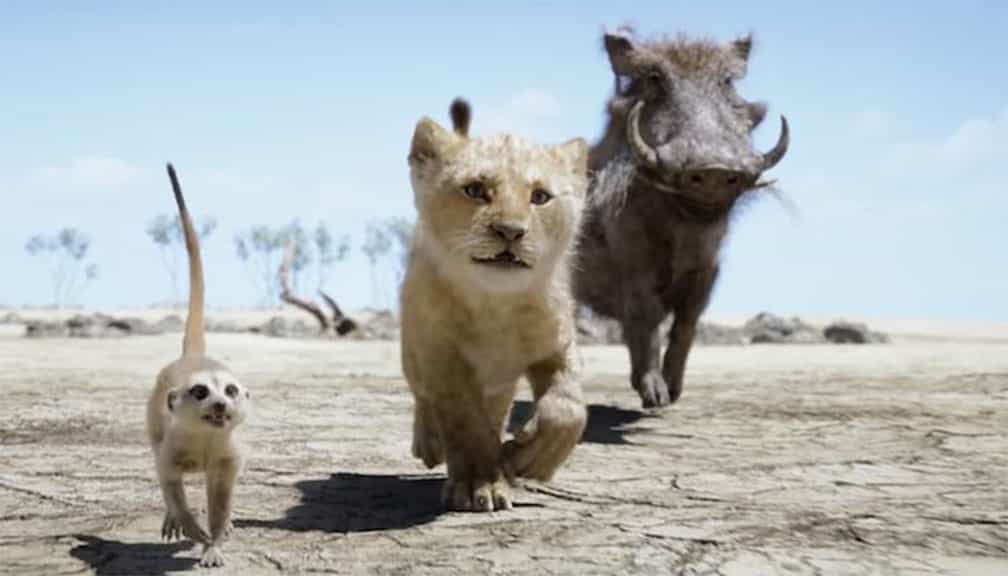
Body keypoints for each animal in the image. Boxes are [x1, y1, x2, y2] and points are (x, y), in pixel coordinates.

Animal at [400, 97, 589, 512]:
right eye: (475, 190)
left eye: (540, 196)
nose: (510, 231)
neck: (496, 305)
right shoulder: (441, 355)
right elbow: (464, 419)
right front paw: (480, 483)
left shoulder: (557, 344)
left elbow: (568, 408)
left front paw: (529, 459)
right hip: (412, 349)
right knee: (424, 396)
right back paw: (430, 443)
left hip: (501, 384)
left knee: (498, 409)